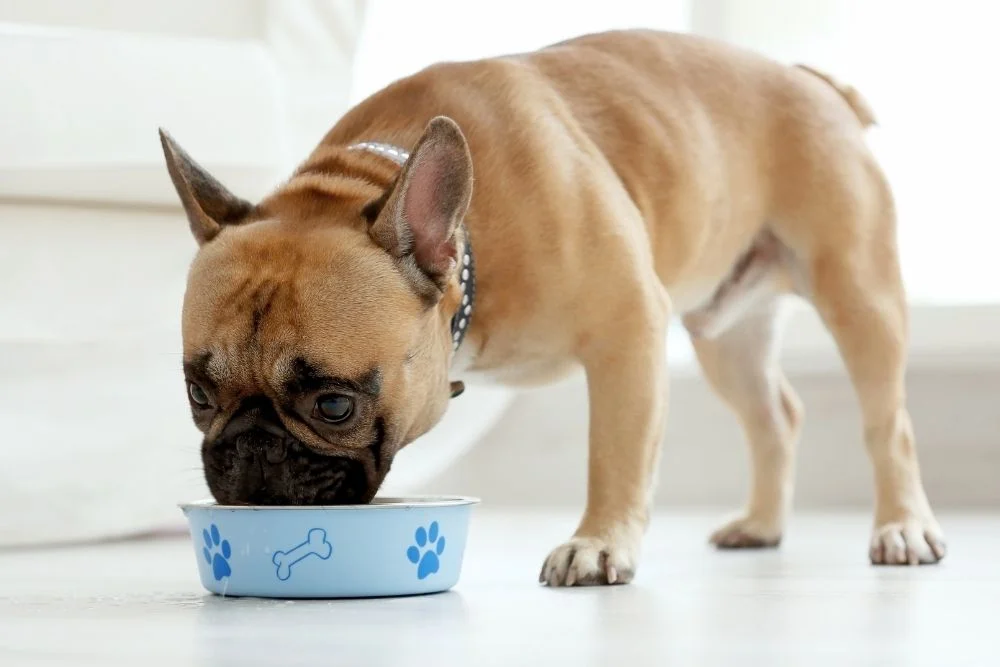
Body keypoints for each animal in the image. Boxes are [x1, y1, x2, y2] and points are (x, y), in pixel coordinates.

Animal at [164, 28, 944, 588]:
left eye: (334, 404)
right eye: (198, 395)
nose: (250, 450)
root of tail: (815, 83)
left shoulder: (629, 330)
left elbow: (616, 455)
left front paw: (598, 544)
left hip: (859, 294)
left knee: (890, 425)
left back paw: (903, 527)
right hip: (727, 336)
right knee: (776, 416)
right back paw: (761, 525)